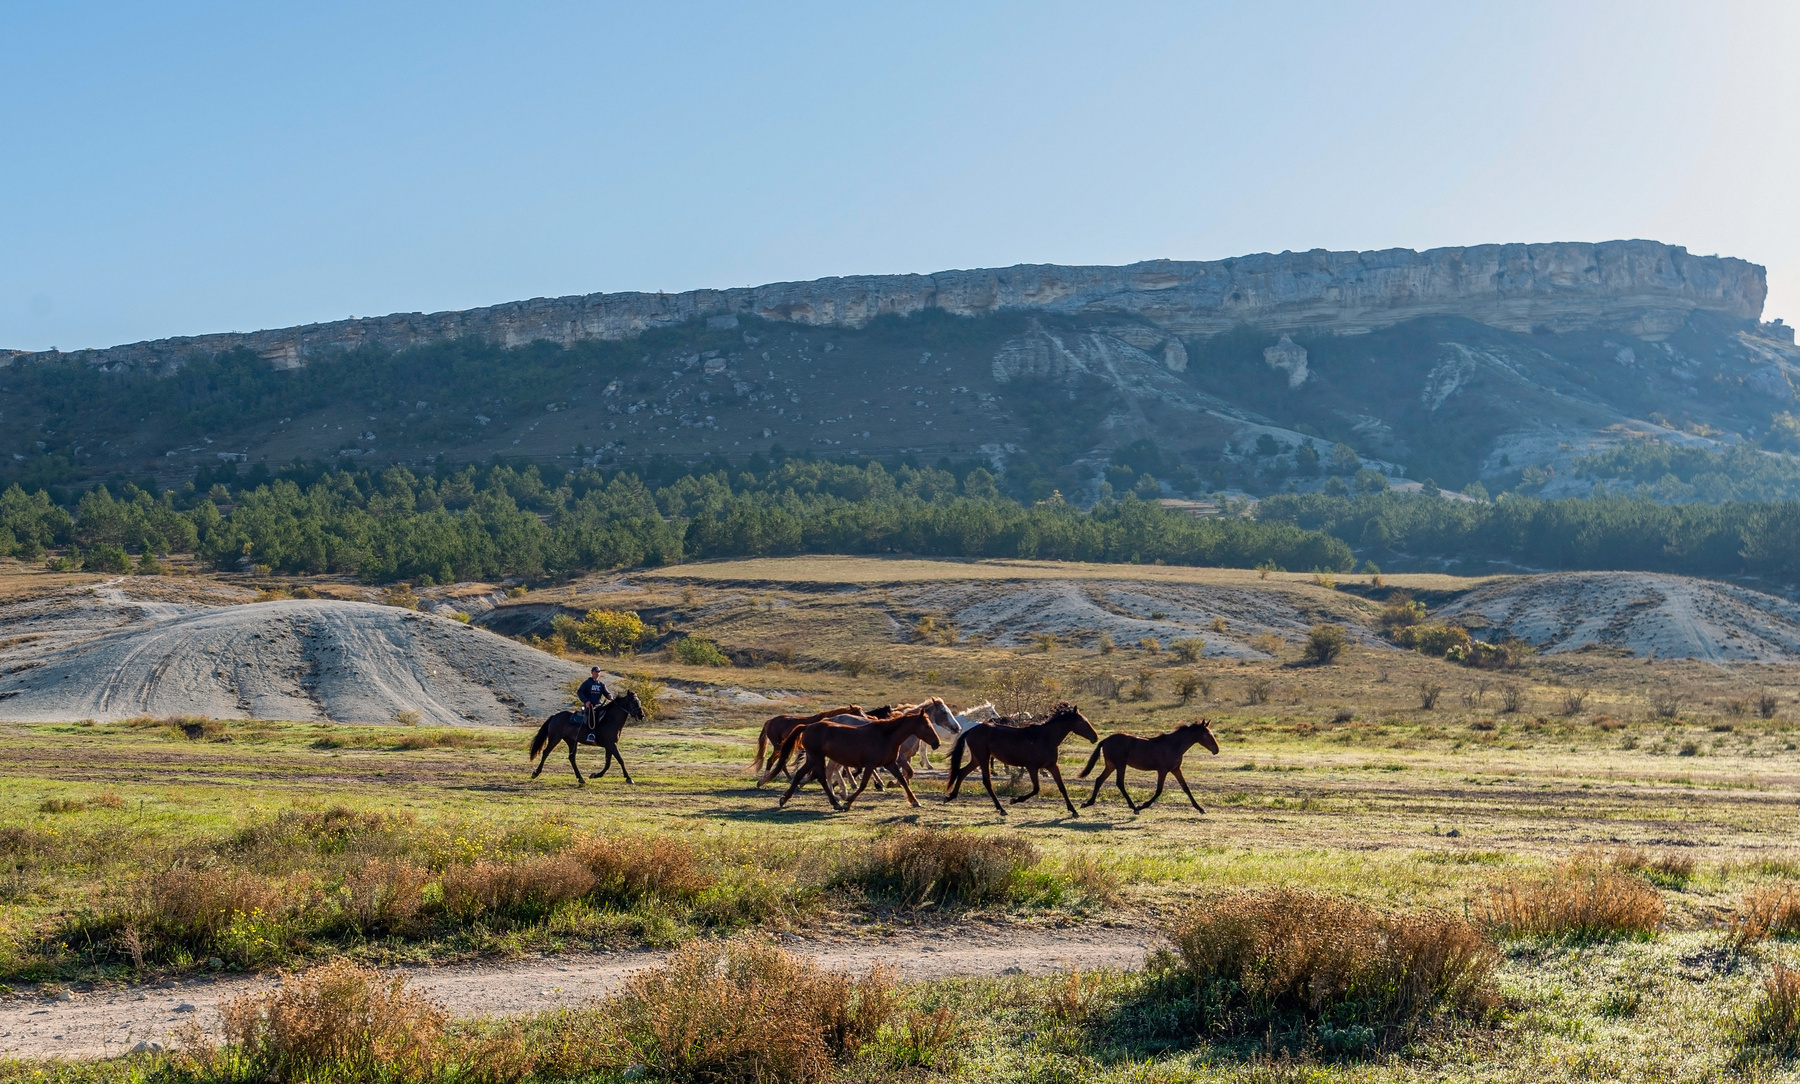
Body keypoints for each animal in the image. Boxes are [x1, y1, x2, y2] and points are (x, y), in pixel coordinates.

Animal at [776, 709, 940, 811]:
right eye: (927, 725)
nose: (936, 743)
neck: (885, 736)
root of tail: (808, 726)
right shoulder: (870, 765)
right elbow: (862, 785)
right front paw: (847, 803)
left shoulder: (890, 764)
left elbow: (903, 780)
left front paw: (915, 801)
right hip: (817, 757)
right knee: (821, 777)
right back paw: (836, 803)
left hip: (812, 758)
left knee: (800, 774)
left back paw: (784, 799)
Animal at [944, 702, 1098, 817]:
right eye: (1083, 722)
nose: (1095, 737)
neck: (1045, 738)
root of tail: (971, 730)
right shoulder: (1032, 767)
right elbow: (1036, 789)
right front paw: (1015, 800)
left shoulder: (1052, 766)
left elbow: (1062, 787)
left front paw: (1074, 810)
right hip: (983, 757)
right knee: (986, 782)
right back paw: (1001, 809)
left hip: (977, 758)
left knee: (962, 772)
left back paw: (950, 796)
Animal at [1079, 719, 1220, 813]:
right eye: (1207, 734)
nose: (1216, 750)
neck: (1173, 745)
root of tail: (1106, 740)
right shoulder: (1162, 770)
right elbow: (1159, 790)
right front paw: (1143, 805)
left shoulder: (1176, 770)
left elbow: (1186, 788)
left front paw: (1200, 808)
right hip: (1120, 764)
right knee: (1119, 783)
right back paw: (1134, 807)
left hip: (1111, 765)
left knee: (1099, 780)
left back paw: (1088, 803)